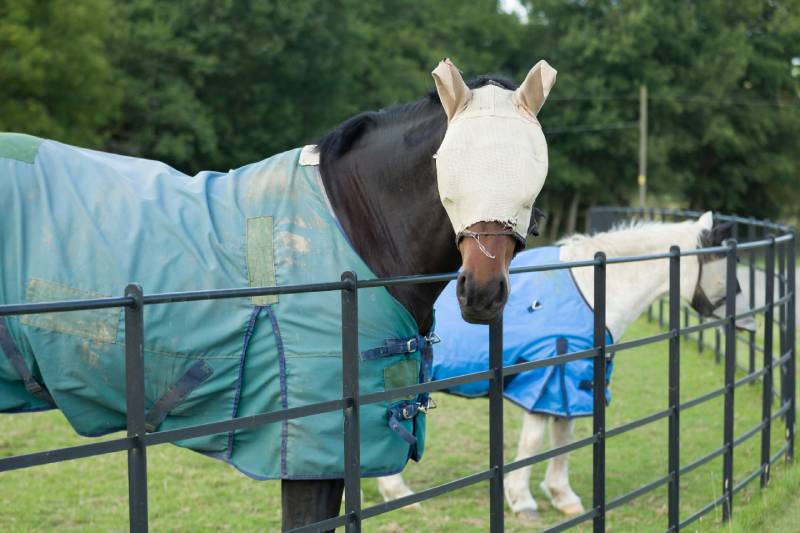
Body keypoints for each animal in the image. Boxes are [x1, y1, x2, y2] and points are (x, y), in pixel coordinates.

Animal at [376, 211, 756, 520]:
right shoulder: (546, 379)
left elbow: (564, 436)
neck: (591, 292)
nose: (751, 322)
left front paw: (562, 496)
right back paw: (399, 493)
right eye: (727, 266)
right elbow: (532, 442)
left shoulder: (573, 381)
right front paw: (522, 500)